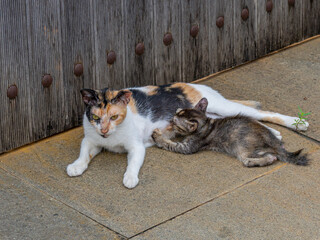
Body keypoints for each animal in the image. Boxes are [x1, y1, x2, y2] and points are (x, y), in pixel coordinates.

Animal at [151, 97, 308, 167]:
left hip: (243, 148)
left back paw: (259, 160)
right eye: (175, 114)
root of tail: (274, 143)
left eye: (175, 121)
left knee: (262, 158)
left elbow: (171, 144)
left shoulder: (188, 147)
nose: (170, 120)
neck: (206, 124)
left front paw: (157, 135)